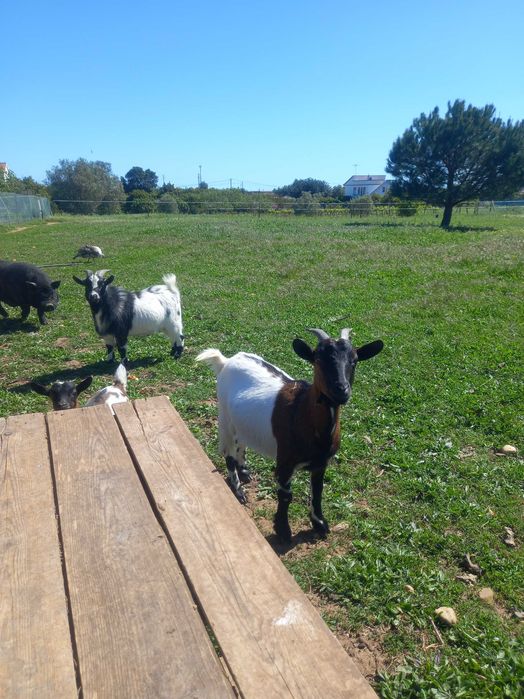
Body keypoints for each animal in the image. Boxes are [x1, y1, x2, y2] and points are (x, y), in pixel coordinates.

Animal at [196, 328, 383, 542]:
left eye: (354, 360)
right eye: (318, 359)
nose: (341, 389)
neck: (303, 411)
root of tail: (227, 360)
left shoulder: (321, 464)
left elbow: (317, 491)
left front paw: (320, 524)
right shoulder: (285, 462)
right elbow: (286, 495)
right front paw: (283, 531)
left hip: (241, 420)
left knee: (241, 442)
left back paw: (244, 471)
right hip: (224, 416)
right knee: (228, 452)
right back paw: (238, 489)